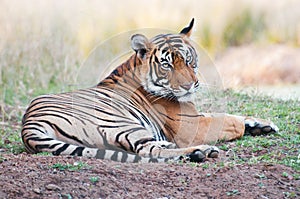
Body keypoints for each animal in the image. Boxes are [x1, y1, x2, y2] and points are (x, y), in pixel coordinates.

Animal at [21, 18, 278, 162]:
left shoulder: (196, 115)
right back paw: (200, 152)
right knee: (150, 151)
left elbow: (230, 116)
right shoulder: (190, 125)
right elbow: (230, 121)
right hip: (123, 123)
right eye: (167, 65)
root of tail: (28, 126)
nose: (189, 85)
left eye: (188, 60)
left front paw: (263, 124)